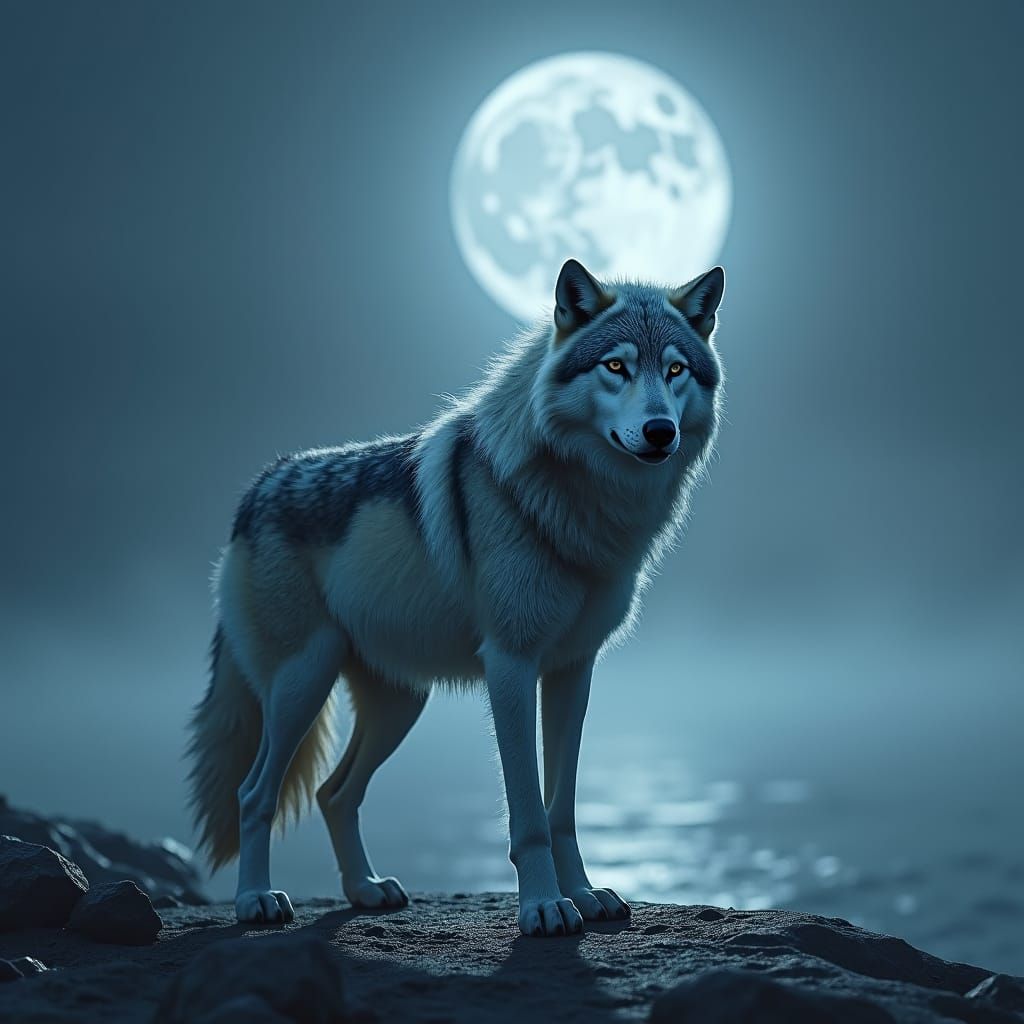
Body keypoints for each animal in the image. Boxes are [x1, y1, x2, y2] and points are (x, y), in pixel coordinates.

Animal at [187, 258, 726, 937]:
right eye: (616, 366)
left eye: (675, 370)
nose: (660, 432)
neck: (577, 506)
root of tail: (259, 486)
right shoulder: (511, 666)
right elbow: (528, 813)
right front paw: (545, 907)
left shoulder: (573, 671)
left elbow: (562, 806)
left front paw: (584, 895)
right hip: (301, 686)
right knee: (254, 794)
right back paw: (255, 900)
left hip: (399, 704)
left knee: (333, 793)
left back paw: (365, 890)